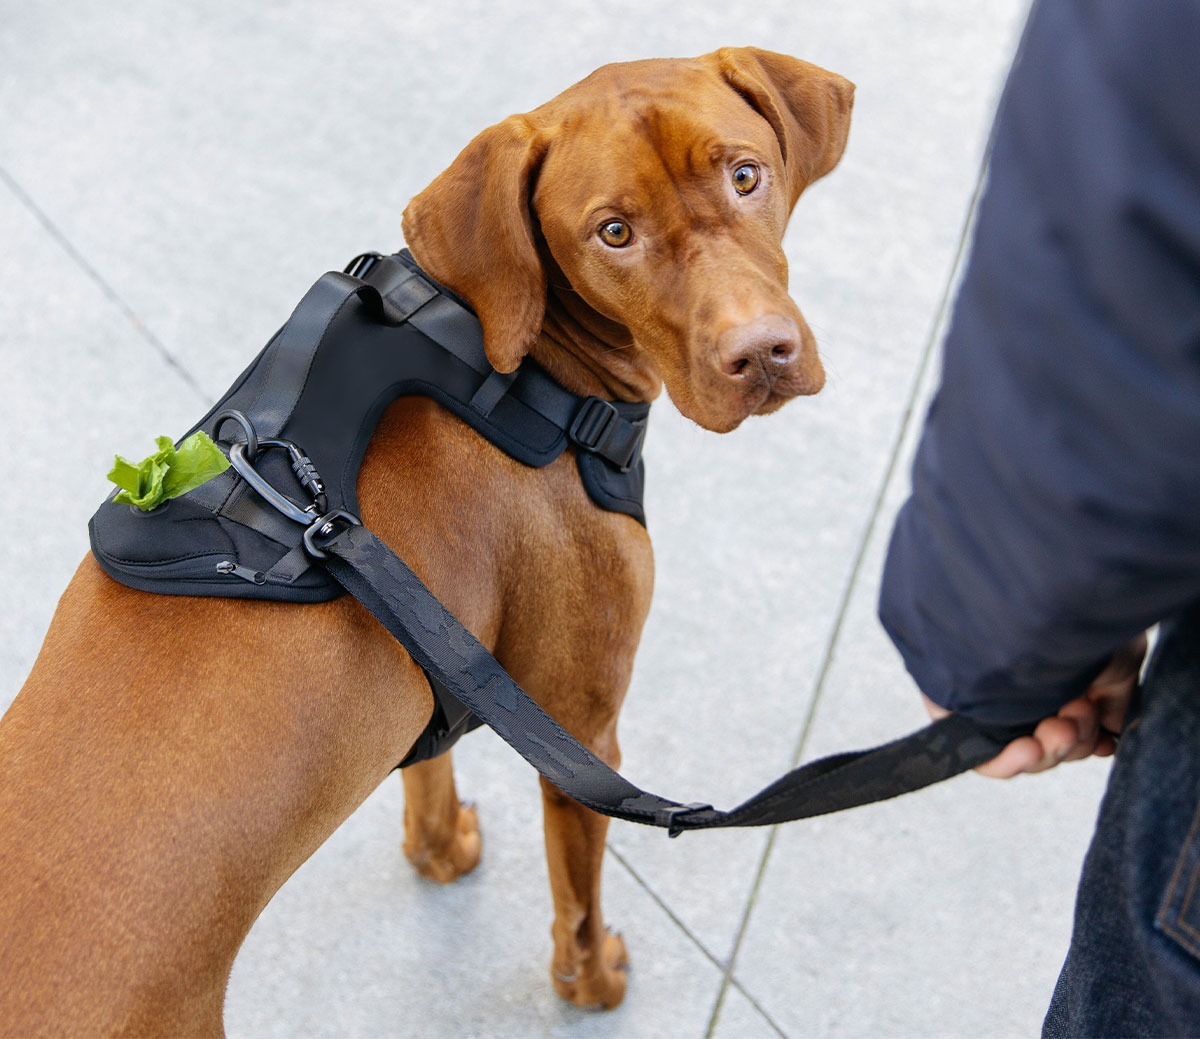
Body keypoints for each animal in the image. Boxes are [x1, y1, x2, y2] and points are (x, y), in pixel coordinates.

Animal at [0, 46, 854, 1027]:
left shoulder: (445, 648)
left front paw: (440, 852)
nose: (761, 355)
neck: (521, 371)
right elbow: (578, 899)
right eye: (613, 233)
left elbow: (428, 773)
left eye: (745, 176)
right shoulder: (583, 731)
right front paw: (594, 983)